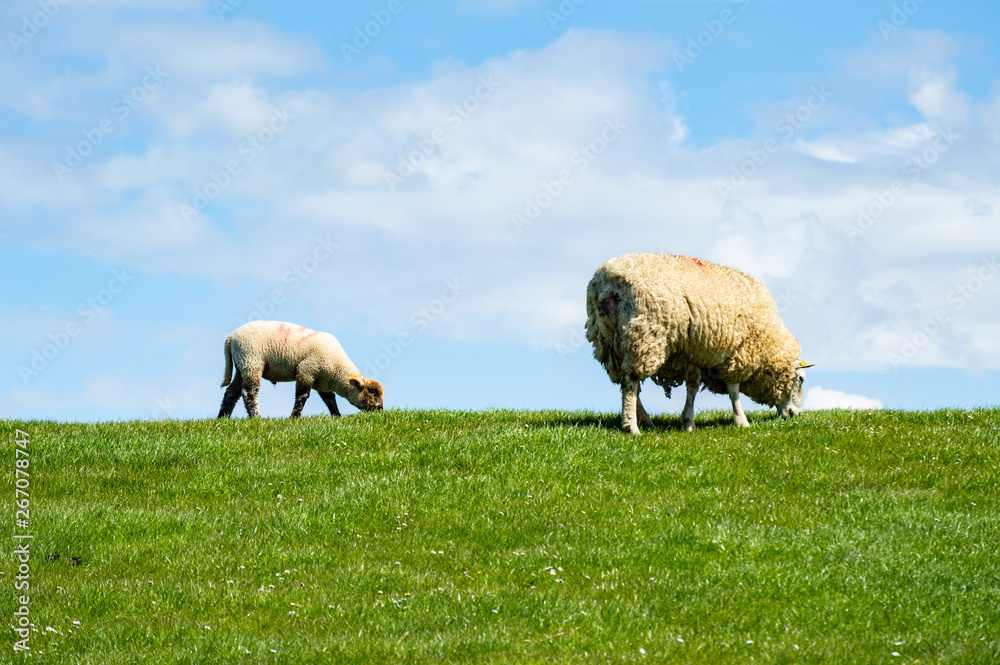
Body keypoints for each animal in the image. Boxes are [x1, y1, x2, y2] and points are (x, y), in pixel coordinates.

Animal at [217, 320, 384, 419]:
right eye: (372, 392)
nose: (380, 410)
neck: (337, 370)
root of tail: (231, 336)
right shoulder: (307, 371)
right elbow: (302, 396)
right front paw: (294, 417)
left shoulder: (321, 380)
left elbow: (330, 398)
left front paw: (336, 415)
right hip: (252, 360)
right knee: (249, 392)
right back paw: (256, 417)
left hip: (241, 365)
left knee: (231, 392)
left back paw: (223, 417)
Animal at [585, 253, 813, 434]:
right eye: (800, 379)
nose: (796, 414)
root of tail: (608, 281)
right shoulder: (739, 353)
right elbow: (734, 390)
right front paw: (741, 421)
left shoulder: (695, 354)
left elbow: (692, 387)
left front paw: (688, 422)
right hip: (645, 337)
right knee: (631, 381)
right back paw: (632, 426)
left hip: (608, 342)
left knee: (627, 382)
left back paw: (646, 421)